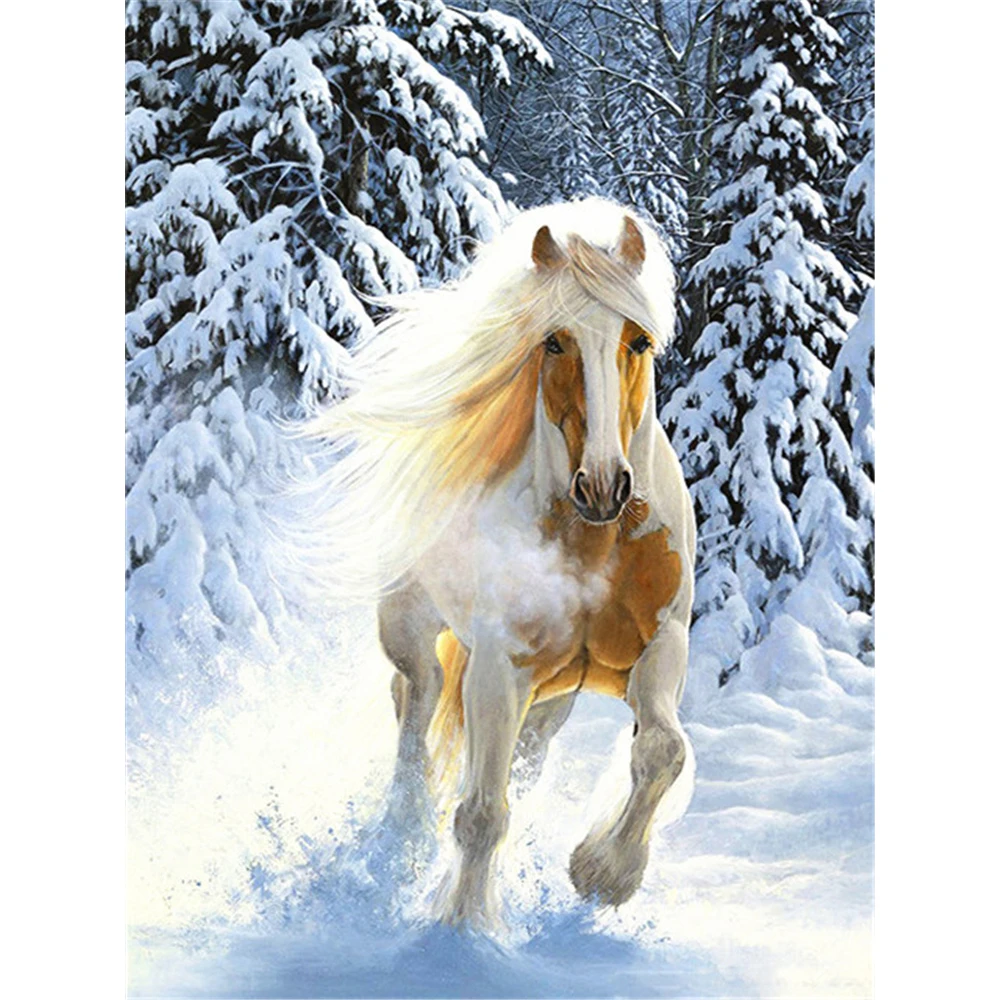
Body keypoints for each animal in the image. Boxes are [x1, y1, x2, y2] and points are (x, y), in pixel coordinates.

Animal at [304, 198, 696, 928]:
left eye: (638, 341)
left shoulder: (661, 643)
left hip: (551, 695)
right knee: (416, 701)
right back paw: (403, 836)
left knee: (516, 753)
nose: (604, 487)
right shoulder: (498, 662)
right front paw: (463, 927)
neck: (593, 543)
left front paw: (603, 873)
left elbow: (662, 750)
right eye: (554, 341)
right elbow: (482, 814)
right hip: (415, 630)